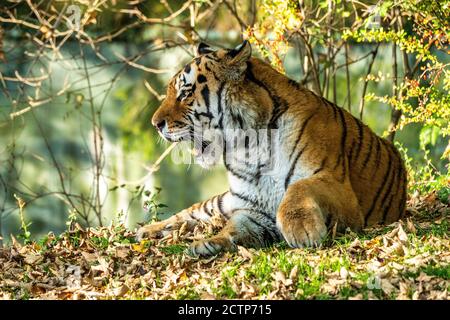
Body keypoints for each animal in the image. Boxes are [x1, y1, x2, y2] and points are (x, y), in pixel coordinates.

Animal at [136, 40, 408, 258]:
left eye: (185, 93)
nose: (155, 124)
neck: (248, 147)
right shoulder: (253, 208)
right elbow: (233, 227)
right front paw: (210, 242)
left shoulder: (340, 188)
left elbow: (299, 188)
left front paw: (302, 230)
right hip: (222, 201)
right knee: (190, 213)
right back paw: (146, 230)